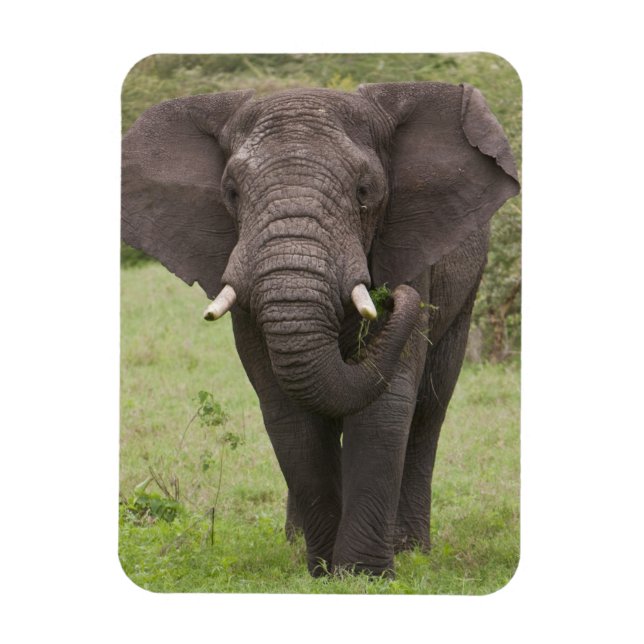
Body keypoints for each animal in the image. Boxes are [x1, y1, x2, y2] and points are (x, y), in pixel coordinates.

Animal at [121, 81, 519, 577]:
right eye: (231, 193)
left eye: (365, 191)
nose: (393, 295)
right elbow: (287, 410)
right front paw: (325, 571)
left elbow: (387, 405)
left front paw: (364, 574)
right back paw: (296, 543)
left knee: (429, 408)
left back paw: (411, 549)